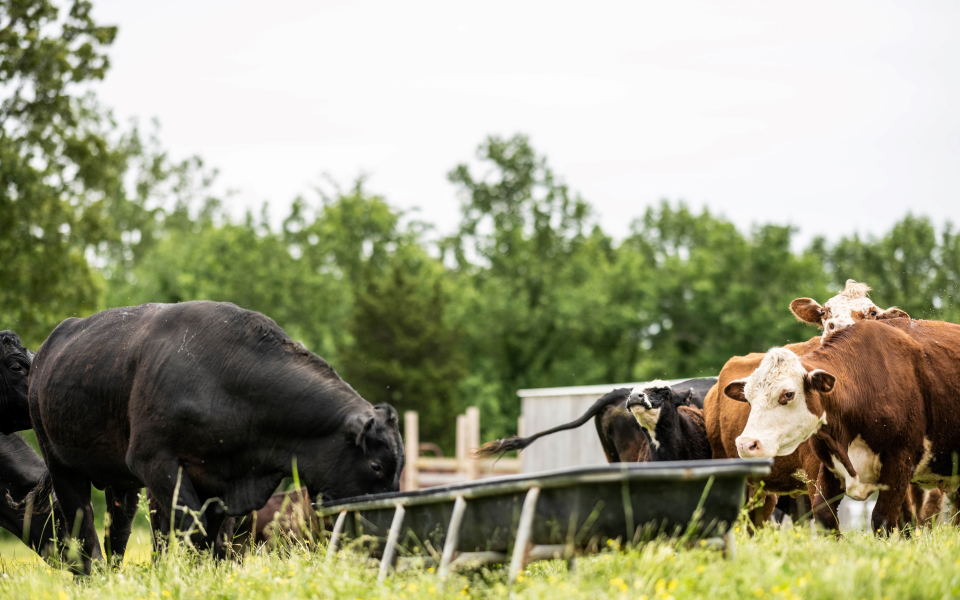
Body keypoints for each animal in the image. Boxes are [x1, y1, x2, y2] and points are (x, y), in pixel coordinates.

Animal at [24, 302, 404, 576]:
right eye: (376, 465)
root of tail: (47, 347)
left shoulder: (223, 481)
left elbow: (217, 540)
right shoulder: (157, 462)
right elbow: (194, 530)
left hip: (122, 480)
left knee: (118, 529)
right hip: (60, 463)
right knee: (82, 524)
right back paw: (94, 577)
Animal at [724, 322, 960, 532]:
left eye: (788, 394)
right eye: (748, 397)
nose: (746, 444)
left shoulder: (900, 461)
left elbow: (883, 519)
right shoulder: (831, 465)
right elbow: (824, 515)